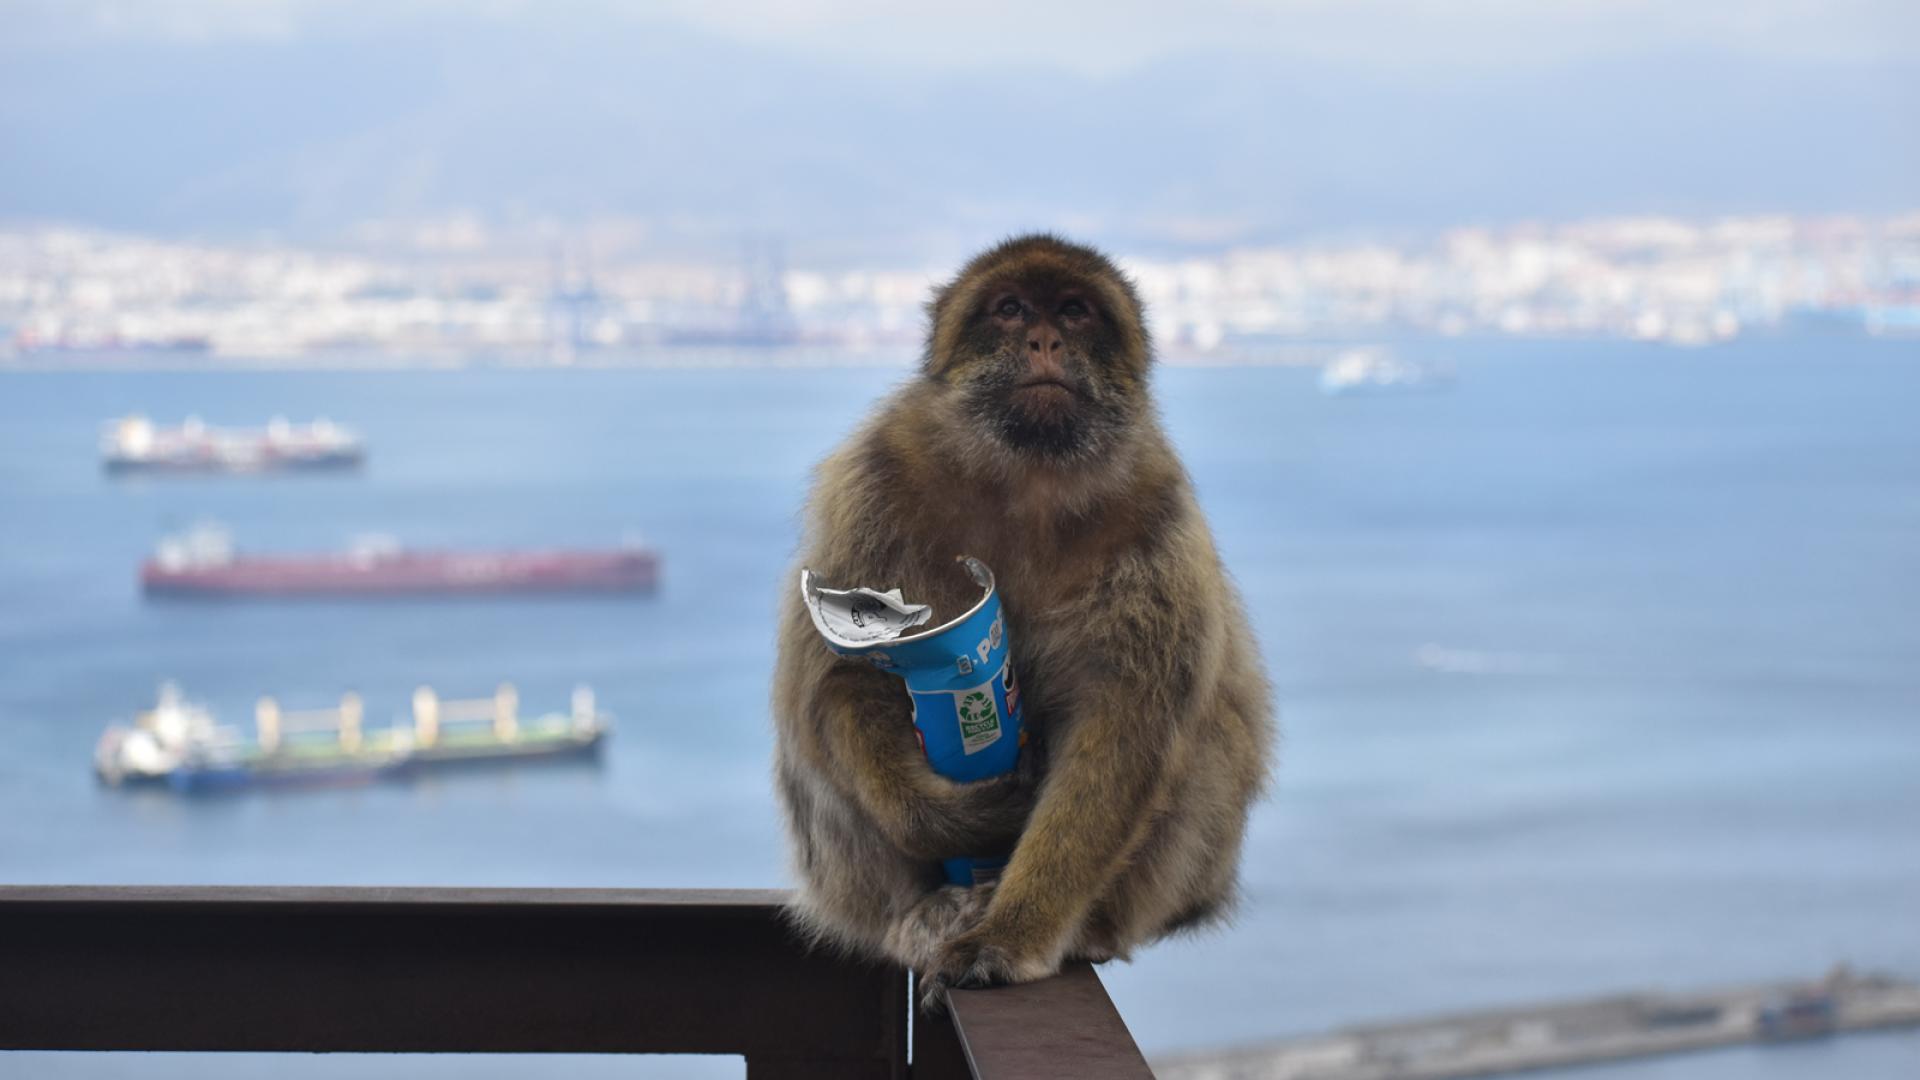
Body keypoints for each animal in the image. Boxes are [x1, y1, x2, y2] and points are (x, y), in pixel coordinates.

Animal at [772, 234, 1274, 1005]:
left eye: (1074, 311)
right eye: (1009, 310)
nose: (1044, 339)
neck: (1028, 477)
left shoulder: (1158, 518)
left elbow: (1123, 724)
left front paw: (1013, 934)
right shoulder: (873, 478)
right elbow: (839, 679)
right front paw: (960, 818)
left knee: (1211, 732)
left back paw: (1084, 925)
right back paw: (924, 911)